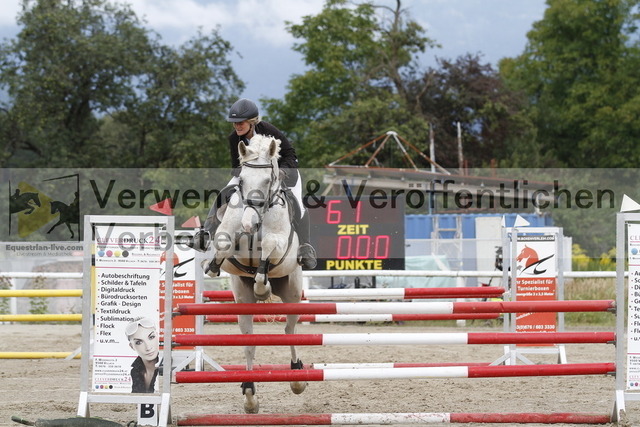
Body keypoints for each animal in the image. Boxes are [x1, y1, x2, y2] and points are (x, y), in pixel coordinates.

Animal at [204, 134, 306, 414]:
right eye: (242, 181)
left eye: (268, 180)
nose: (249, 224)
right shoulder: (228, 237)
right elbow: (224, 242)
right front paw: (213, 266)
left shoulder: (279, 245)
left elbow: (269, 246)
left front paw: (263, 287)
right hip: (241, 299)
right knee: (249, 341)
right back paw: (249, 393)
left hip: (293, 294)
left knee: (290, 331)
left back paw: (297, 377)